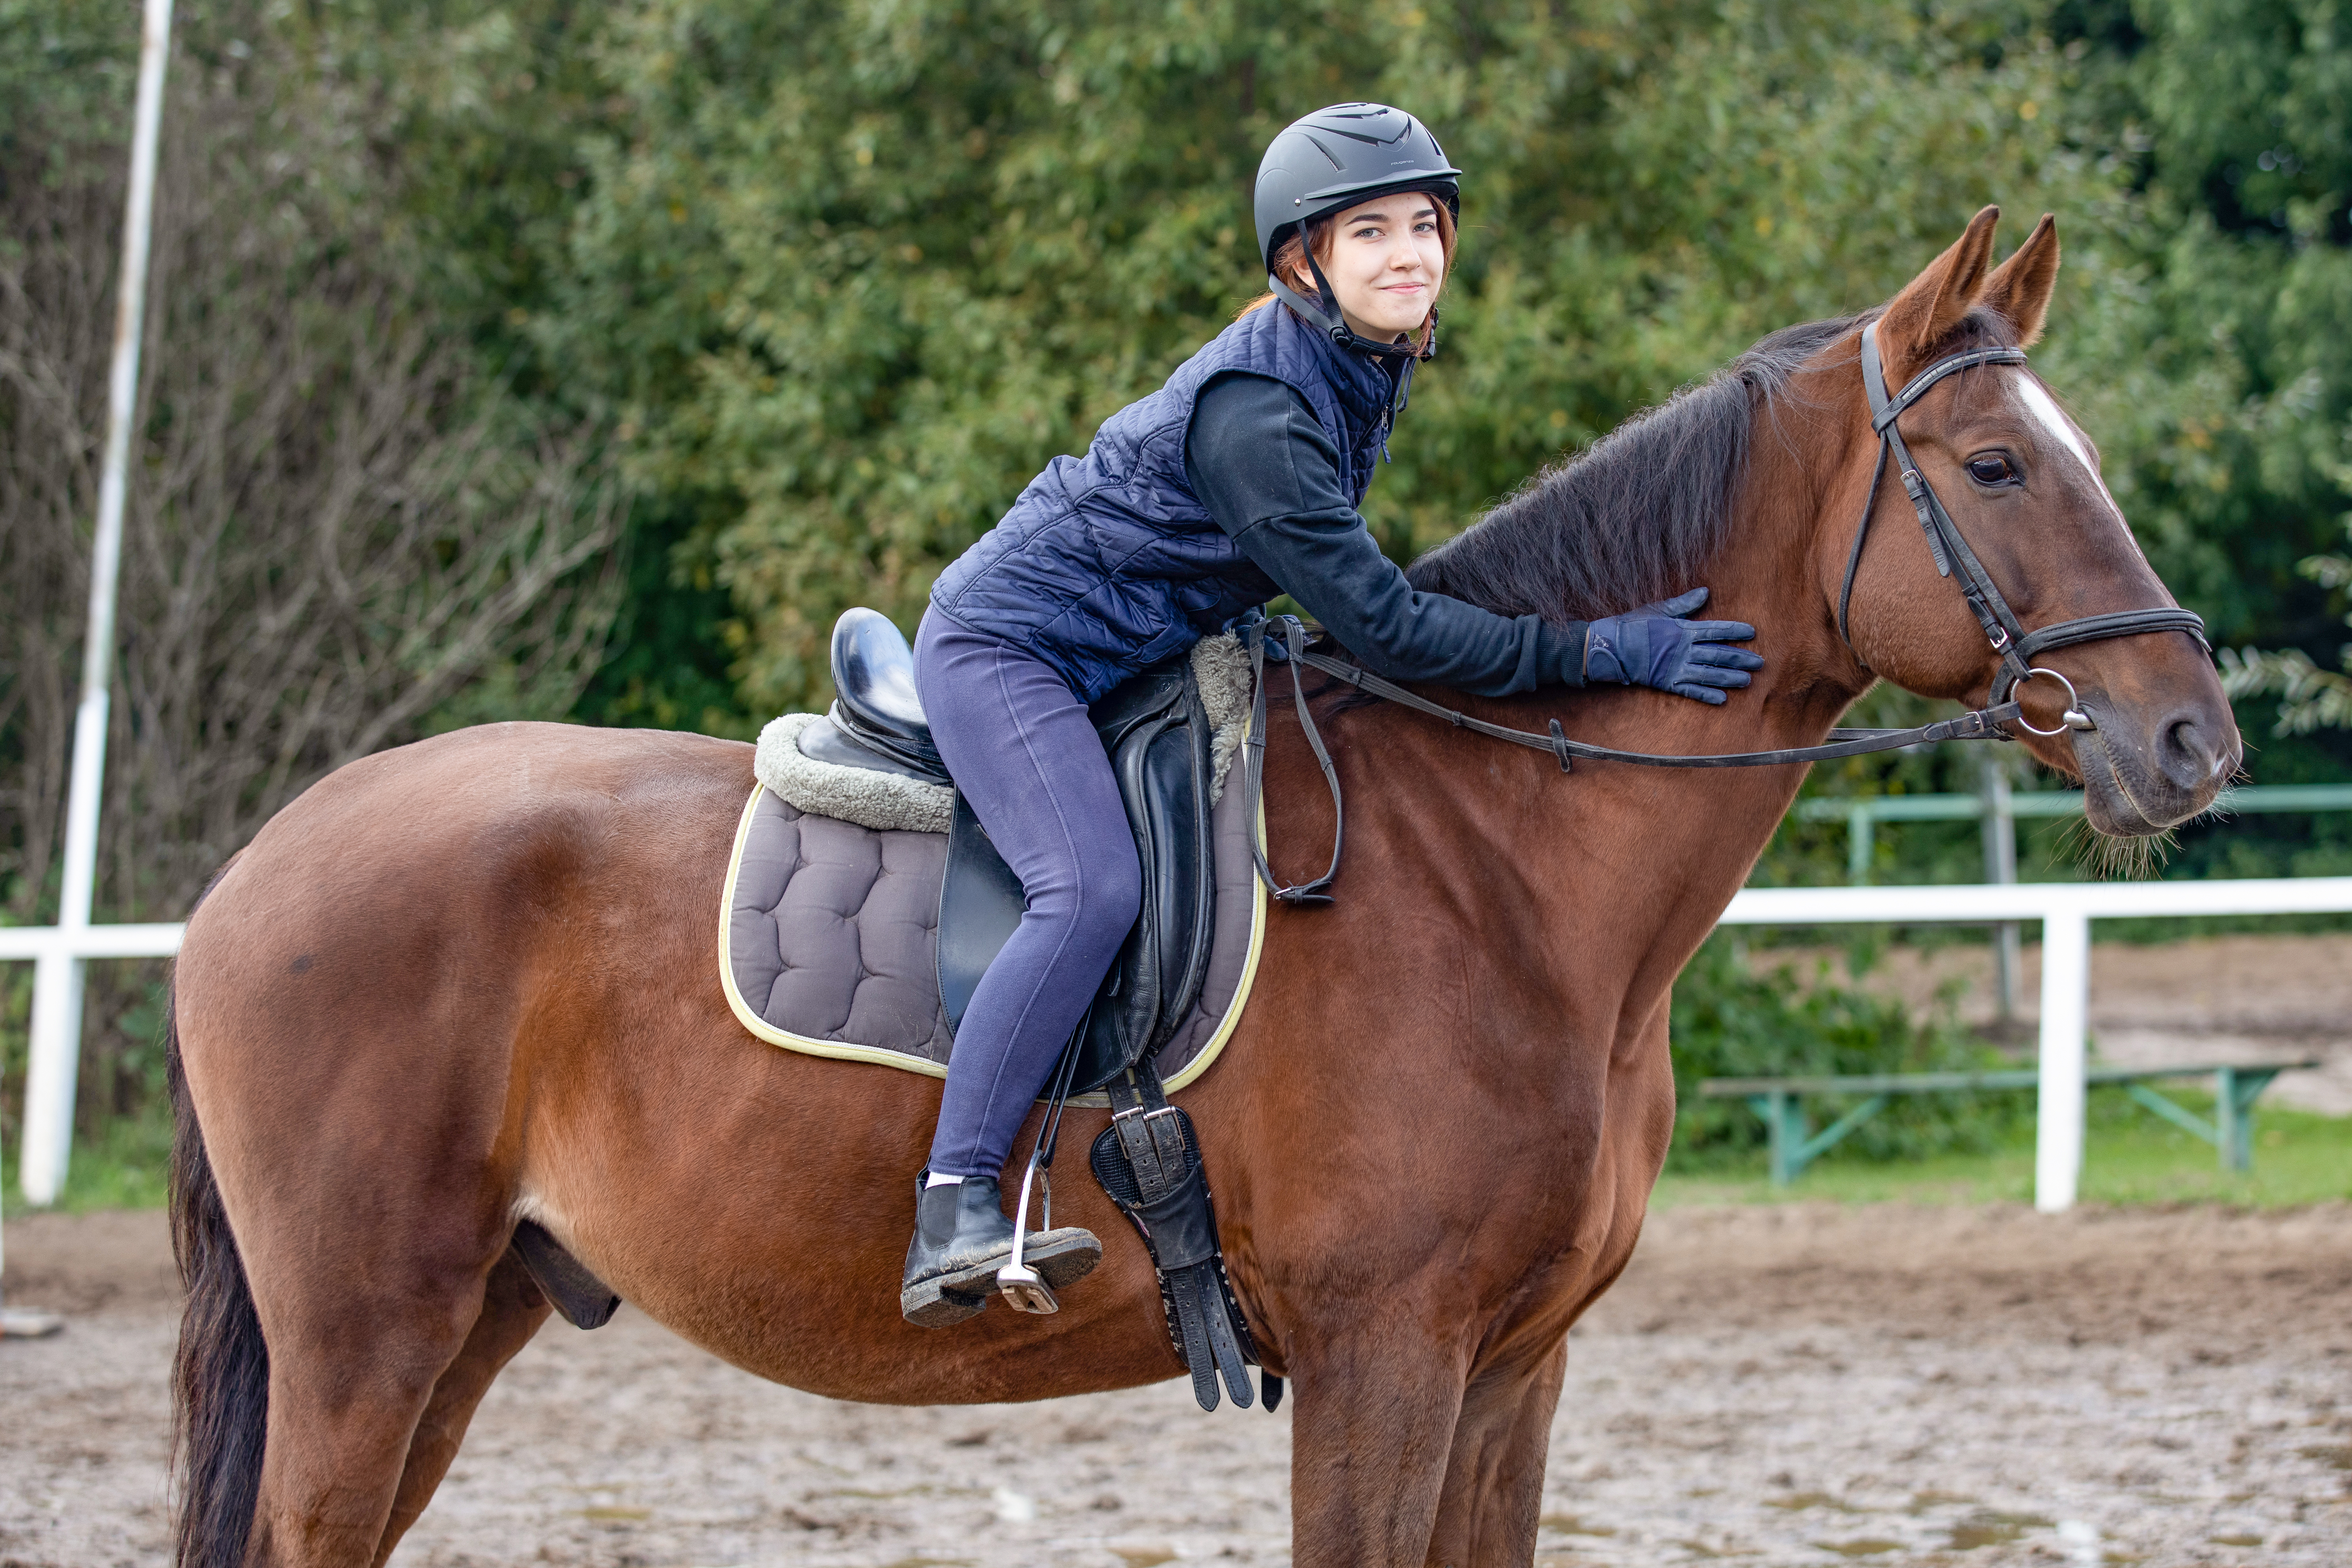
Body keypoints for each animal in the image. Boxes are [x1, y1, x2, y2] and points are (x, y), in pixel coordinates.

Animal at [170, 215, 2239, 1568]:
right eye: (1996, 465)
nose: (2193, 737)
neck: (1501, 868)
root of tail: (264, 855)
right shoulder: (1382, 1358)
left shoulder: (1511, 1371)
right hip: (368, 1339)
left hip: (465, 1322)